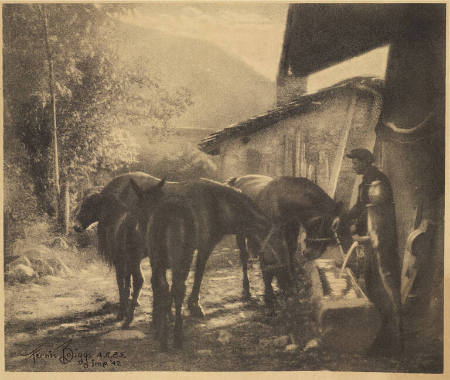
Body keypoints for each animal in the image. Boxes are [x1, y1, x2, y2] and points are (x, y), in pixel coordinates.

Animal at [128, 178, 294, 350]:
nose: (289, 284)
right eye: (277, 250)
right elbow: (198, 274)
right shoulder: (205, 246)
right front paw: (194, 306)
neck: (219, 205)